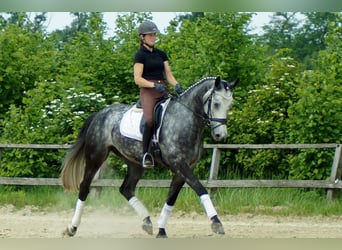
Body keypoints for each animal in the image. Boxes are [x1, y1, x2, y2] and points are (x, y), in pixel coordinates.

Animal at [60, 76, 239, 238]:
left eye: (229, 105)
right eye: (216, 103)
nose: (220, 135)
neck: (185, 119)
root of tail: (99, 114)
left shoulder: (184, 168)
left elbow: (171, 198)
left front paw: (161, 230)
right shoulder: (179, 164)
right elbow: (200, 188)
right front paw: (216, 223)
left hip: (134, 162)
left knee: (126, 189)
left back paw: (146, 222)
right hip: (95, 156)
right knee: (84, 187)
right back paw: (72, 228)